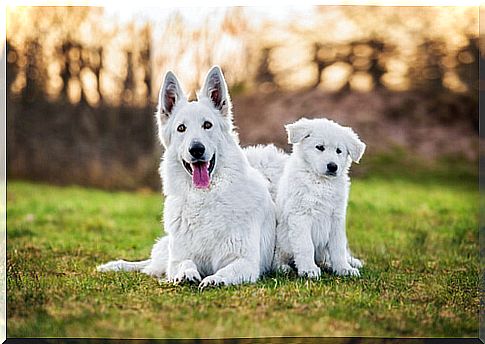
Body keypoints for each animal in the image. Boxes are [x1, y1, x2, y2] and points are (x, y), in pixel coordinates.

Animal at [96, 66, 276, 288]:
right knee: (150, 265)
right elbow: (184, 263)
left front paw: (214, 279)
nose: (196, 149)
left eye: (207, 125)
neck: (204, 198)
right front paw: (187, 274)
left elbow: (226, 271)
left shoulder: (245, 262)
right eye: (181, 128)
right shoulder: (178, 258)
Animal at [270, 117, 364, 278]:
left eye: (339, 151)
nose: (333, 166)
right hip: (282, 241)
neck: (322, 182)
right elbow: (306, 246)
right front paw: (309, 270)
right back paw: (283, 267)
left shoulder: (336, 218)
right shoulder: (301, 215)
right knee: (279, 258)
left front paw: (343, 268)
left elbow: (338, 247)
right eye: (320, 147)